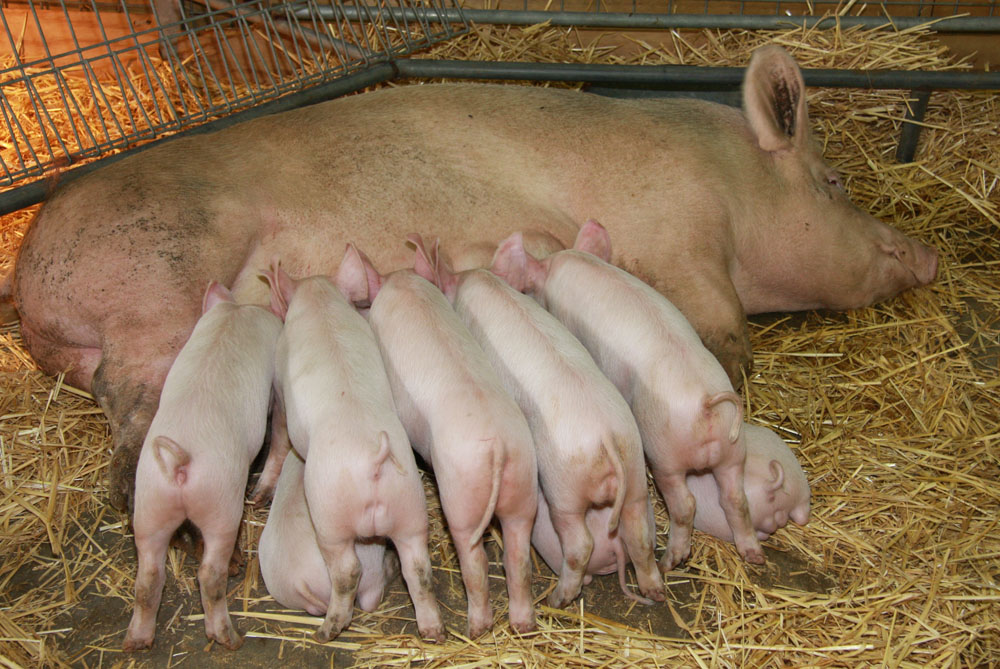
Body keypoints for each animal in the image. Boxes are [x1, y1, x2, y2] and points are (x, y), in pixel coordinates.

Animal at [11, 45, 936, 506]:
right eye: (834, 183)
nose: (923, 254)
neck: (730, 183)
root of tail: (23, 282)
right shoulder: (684, 242)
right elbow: (722, 331)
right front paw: (734, 375)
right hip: (158, 283)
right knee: (131, 400)